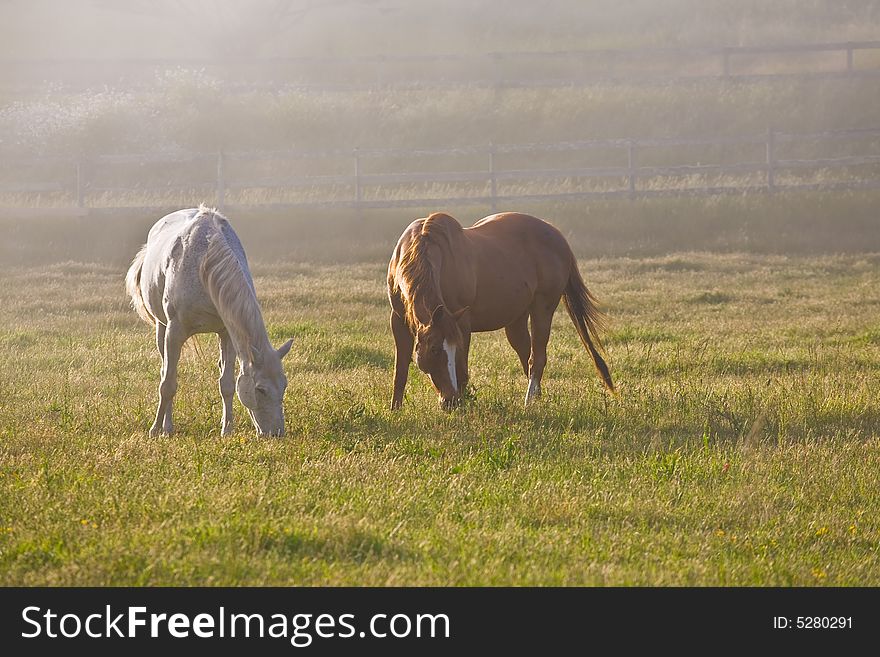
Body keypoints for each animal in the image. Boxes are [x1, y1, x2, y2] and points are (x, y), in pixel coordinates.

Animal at [125, 205, 294, 436]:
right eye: (260, 389)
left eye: (284, 385)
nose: (276, 433)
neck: (203, 265)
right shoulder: (174, 331)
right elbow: (168, 384)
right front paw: (156, 430)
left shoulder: (227, 333)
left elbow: (227, 384)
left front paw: (227, 429)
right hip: (162, 328)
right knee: (165, 370)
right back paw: (167, 426)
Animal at [388, 210, 616, 408]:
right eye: (434, 349)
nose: (451, 401)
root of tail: (559, 238)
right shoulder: (399, 320)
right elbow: (400, 371)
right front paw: (395, 410)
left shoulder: (462, 323)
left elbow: (462, 370)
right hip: (517, 320)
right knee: (526, 355)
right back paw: (537, 399)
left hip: (543, 308)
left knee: (537, 358)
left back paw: (529, 403)